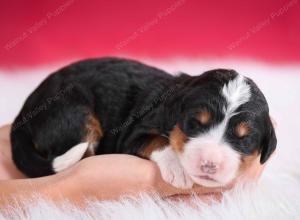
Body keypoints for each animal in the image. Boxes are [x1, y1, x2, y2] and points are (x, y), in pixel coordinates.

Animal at [9, 57, 276, 188]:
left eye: (244, 139)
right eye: (194, 124)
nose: (209, 164)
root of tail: (22, 115)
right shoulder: (132, 134)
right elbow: (159, 140)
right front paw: (178, 169)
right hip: (72, 111)